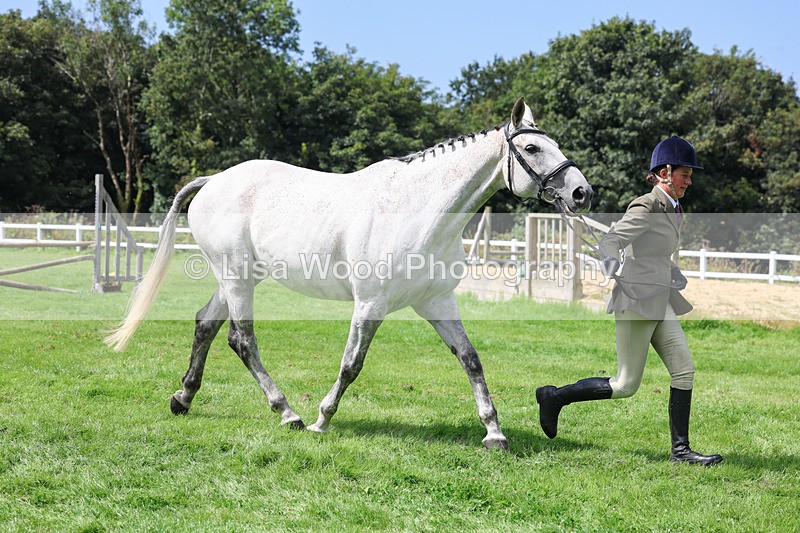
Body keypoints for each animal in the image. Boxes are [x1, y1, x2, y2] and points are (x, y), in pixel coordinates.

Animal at [105, 97, 593, 450]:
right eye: (531, 148)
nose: (581, 193)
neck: (420, 211)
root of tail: (213, 181)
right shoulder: (371, 304)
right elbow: (351, 364)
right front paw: (322, 420)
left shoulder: (436, 301)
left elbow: (470, 359)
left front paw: (494, 434)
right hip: (239, 279)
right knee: (242, 340)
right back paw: (289, 413)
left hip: (237, 279)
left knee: (205, 325)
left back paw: (183, 399)